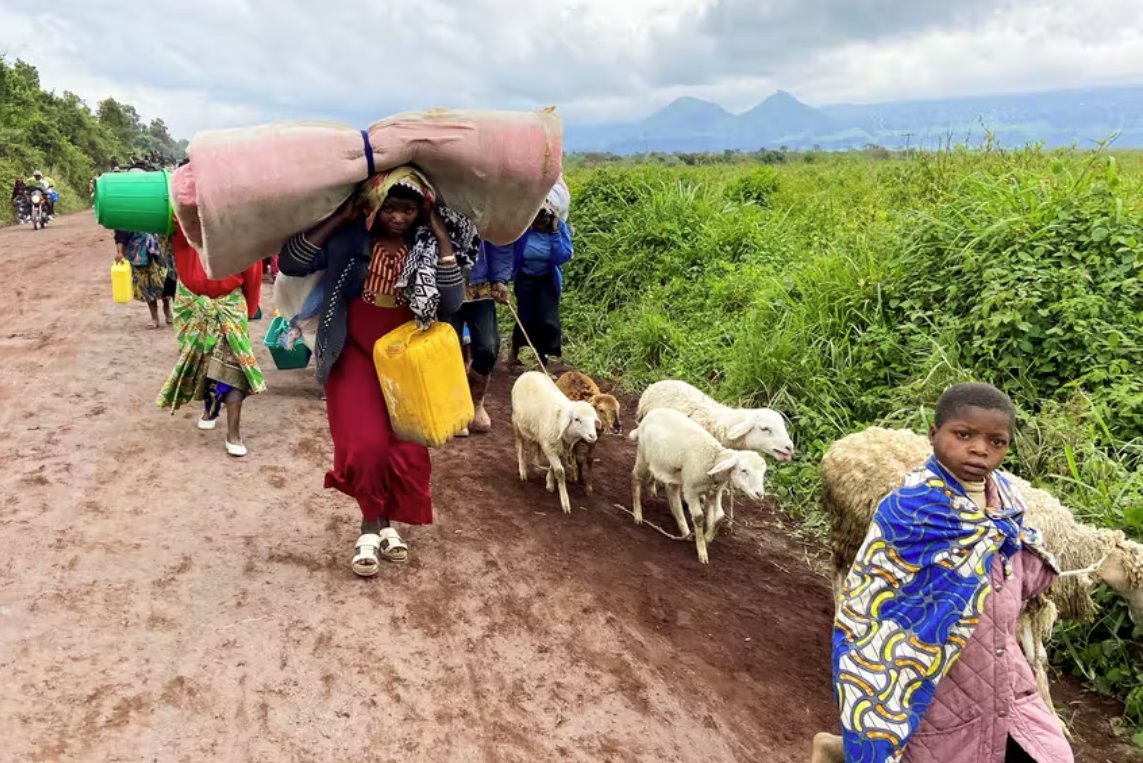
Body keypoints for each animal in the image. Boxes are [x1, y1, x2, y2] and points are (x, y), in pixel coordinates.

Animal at [509, 374, 598, 516]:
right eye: (577, 419)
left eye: (594, 420)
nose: (592, 436)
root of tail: (529, 373)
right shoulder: (549, 447)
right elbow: (560, 471)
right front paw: (565, 503)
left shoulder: (560, 448)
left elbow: (554, 467)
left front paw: (549, 483)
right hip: (517, 422)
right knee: (520, 446)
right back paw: (523, 471)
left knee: (535, 445)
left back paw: (536, 465)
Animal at [630, 408, 763, 564]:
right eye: (744, 470)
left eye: (763, 472)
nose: (760, 494)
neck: (713, 460)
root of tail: (653, 412)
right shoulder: (691, 490)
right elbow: (699, 517)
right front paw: (702, 550)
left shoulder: (714, 492)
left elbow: (720, 517)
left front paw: (707, 539)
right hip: (643, 455)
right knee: (636, 478)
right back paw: (638, 515)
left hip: (673, 471)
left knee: (672, 493)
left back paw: (685, 531)